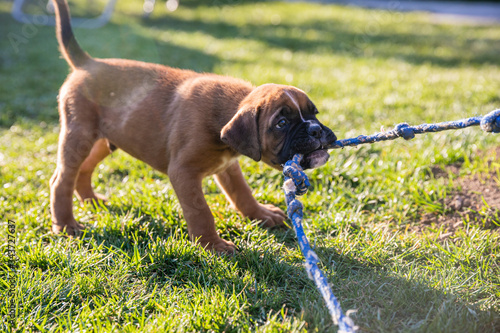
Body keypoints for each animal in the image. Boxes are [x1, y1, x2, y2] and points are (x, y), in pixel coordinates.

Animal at [49, 0, 336, 252]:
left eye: (314, 113)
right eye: (282, 123)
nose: (315, 130)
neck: (226, 115)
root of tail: (88, 63)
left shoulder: (228, 167)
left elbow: (242, 193)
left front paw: (260, 214)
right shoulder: (183, 172)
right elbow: (201, 211)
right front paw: (213, 245)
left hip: (104, 141)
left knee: (84, 170)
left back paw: (91, 201)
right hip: (79, 137)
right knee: (61, 179)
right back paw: (66, 225)